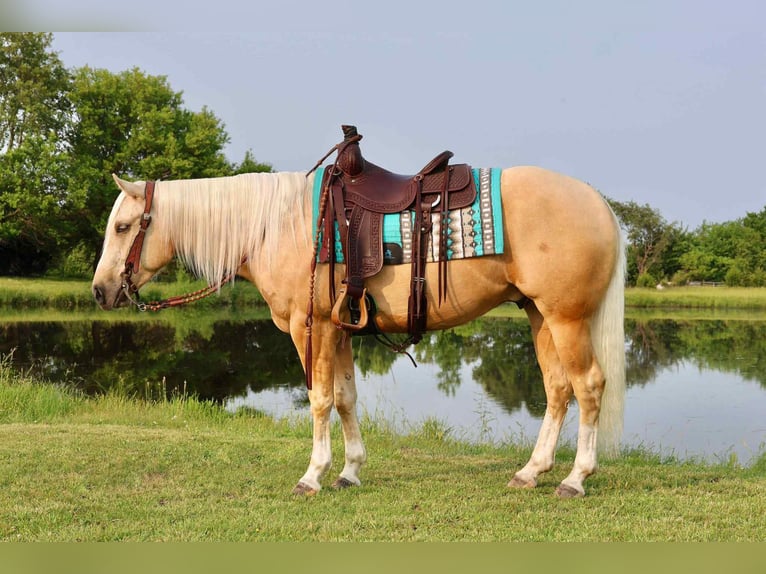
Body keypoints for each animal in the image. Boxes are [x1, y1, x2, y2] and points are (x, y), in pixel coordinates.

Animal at [92, 161, 625, 498]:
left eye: (122, 227)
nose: (99, 291)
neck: (276, 227)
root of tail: (598, 203)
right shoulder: (340, 329)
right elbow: (346, 398)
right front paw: (349, 472)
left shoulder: (310, 329)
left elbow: (320, 400)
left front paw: (313, 475)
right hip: (539, 315)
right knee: (558, 389)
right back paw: (531, 472)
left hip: (566, 318)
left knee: (588, 386)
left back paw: (575, 479)